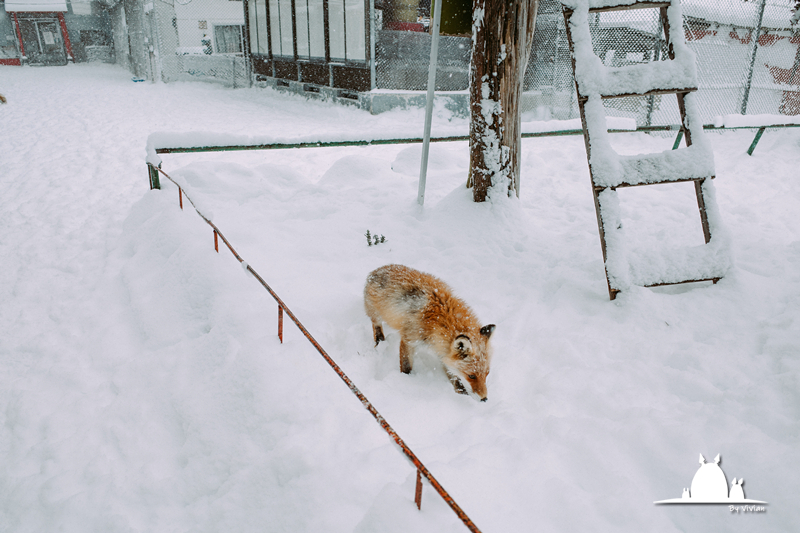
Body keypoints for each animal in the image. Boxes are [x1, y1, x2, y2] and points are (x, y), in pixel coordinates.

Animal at [364, 264, 494, 402]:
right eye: (471, 376)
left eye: (487, 374)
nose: (484, 399)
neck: (438, 321)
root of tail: (378, 269)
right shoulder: (409, 339)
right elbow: (406, 366)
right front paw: (405, 380)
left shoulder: (442, 351)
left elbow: (453, 374)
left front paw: (460, 392)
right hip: (375, 313)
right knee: (376, 325)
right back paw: (379, 341)